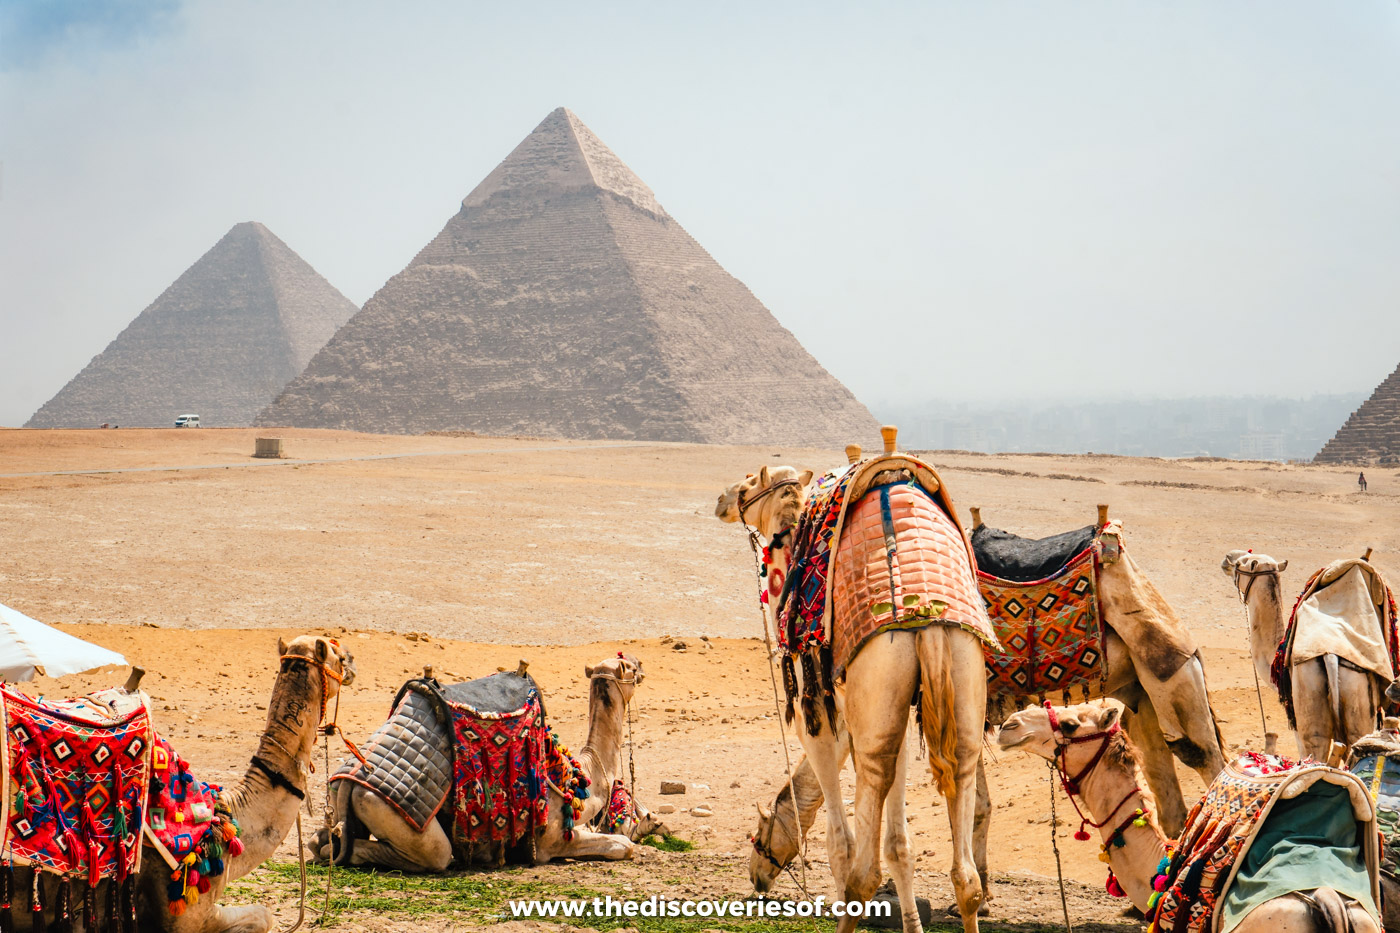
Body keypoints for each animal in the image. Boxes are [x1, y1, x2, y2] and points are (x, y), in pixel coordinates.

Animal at [316, 654, 650, 871]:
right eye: (630, 667)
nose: (641, 663)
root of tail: (349, 783)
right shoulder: (550, 841)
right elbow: (624, 845)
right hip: (389, 811)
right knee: (433, 855)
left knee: (321, 840)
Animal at [718, 444, 990, 933]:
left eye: (748, 485)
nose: (722, 500)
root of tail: (928, 618)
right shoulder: (896, 722)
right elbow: (900, 844)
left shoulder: (822, 719)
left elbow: (839, 843)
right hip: (958, 694)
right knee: (965, 874)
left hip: (878, 707)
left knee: (863, 874)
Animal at [739, 494, 1225, 898]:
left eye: (760, 831)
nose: (756, 878)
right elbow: (980, 803)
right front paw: (984, 889)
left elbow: (971, 802)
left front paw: (978, 894)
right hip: (1137, 692)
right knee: (1166, 782)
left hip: (1170, 669)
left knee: (1203, 755)